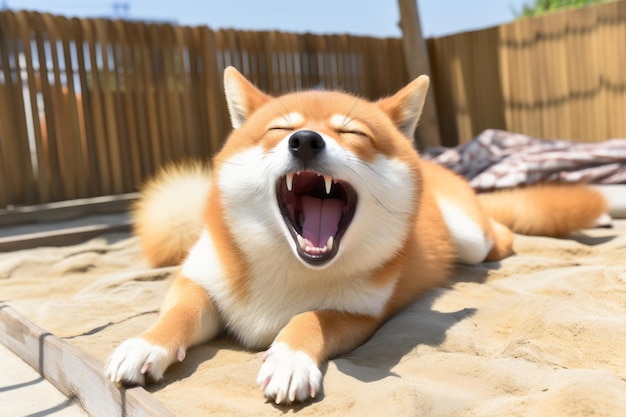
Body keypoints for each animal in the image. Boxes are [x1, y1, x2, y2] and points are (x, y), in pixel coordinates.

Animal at [105, 66, 608, 404]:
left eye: (353, 133)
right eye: (281, 129)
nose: (306, 141)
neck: (288, 270)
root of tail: (436, 166)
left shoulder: (360, 315)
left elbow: (310, 318)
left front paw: (289, 357)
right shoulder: (199, 281)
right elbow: (181, 312)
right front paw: (146, 343)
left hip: (471, 239)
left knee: (500, 232)